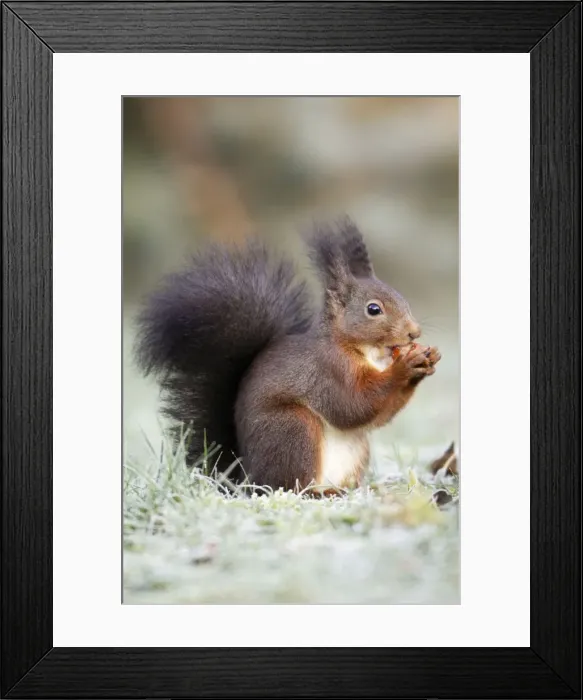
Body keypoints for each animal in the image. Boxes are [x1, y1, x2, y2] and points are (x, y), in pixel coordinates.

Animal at [135, 217, 441, 493]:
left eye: (402, 298)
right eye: (373, 309)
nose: (414, 332)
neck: (367, 353)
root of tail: (245, 477)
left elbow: (379, 416)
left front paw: (427, 360)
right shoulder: (327, 371)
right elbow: (352, 405)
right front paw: (406, 367)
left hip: (356, 447)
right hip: (293, 430)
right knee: (290, 486)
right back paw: (319, 493)